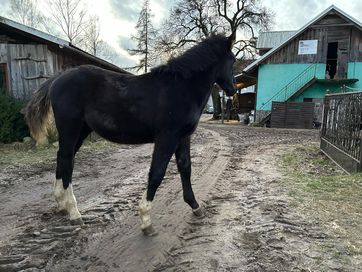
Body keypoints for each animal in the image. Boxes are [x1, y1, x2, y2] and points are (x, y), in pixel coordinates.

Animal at [24, 33, 235, 235]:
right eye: (232, 60)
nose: (232, 90)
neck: (180, 88)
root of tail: (57, 78)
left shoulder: (183, 137)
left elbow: (186, 168)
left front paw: (195, 206)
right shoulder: (167, 137)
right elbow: (157, 173)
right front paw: (146, 220)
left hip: (80, 131)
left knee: (63, 159)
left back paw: (62, 205)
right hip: (71, 129)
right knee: (67, 161)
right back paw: (74, 213)